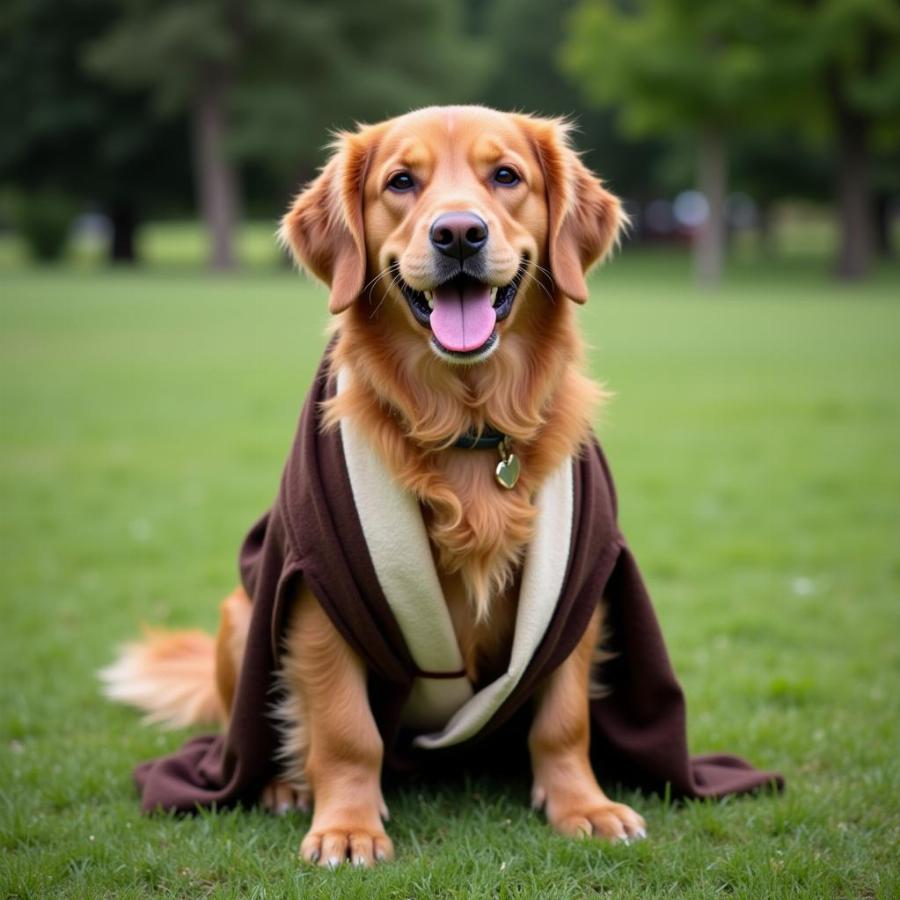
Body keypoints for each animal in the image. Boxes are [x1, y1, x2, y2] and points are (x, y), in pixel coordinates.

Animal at [103, 105, 648, 864]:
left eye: (506, 176)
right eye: (401, 182)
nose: (458, 233)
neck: (467, 426)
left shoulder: (577, 590)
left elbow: (564, 718)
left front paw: (584, 806)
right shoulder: (317, 594)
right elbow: (343, 729)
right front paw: (347, 826)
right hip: (242, 613)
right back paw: (285, 785)